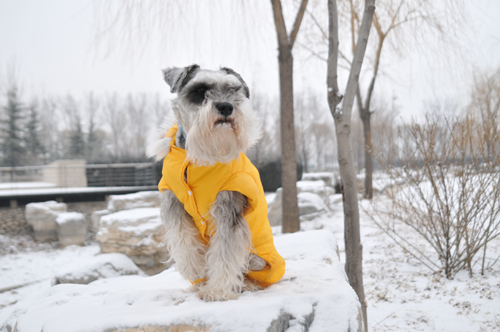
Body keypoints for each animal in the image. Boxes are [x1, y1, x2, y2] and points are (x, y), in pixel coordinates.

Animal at [147, 64, 286, 300]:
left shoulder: (229, 206)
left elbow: (225, 253)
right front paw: (196, 270)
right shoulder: (174, 201)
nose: (226, 107)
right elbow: (183, 239)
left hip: (257, 259)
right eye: (200, 90)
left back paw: (245, 285)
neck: (197, 158)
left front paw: (217, 291)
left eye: (233, 90)